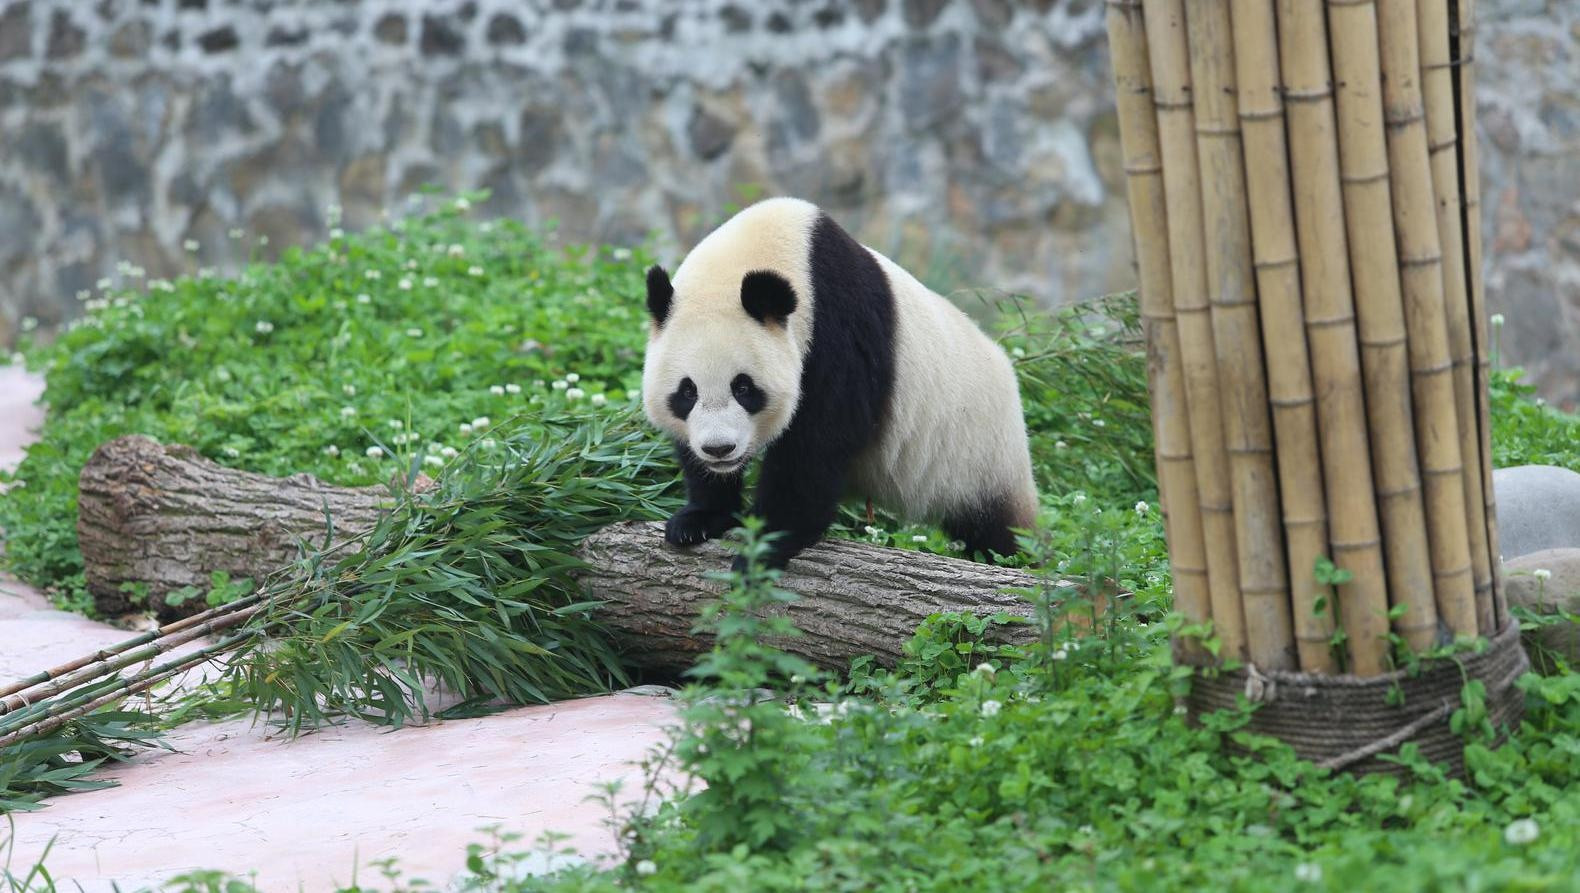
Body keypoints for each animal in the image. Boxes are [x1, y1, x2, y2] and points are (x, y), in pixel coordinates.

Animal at [638, 195, 1036, 572]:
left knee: (998, 530)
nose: (719, 449)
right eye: (687, 392)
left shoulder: (838, 329)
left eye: (744, 388)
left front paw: (766, 545)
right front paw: (701, 519)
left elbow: (820, 440)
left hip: (981, 455)